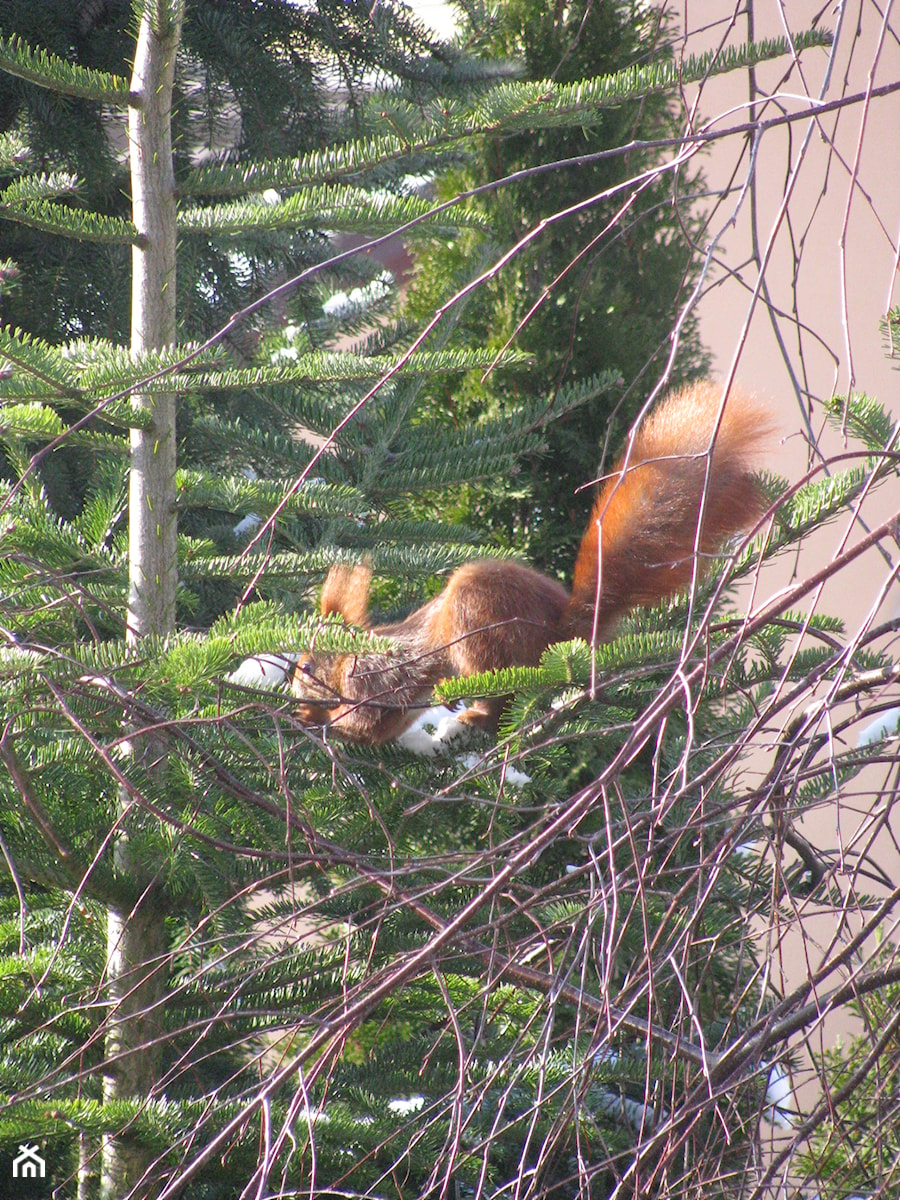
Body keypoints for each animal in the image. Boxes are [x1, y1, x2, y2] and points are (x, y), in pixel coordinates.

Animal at [294, 381, 777, 739]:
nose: (295, 692)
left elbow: (362, 721)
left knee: (502, 695)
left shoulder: (375, 675)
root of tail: (559, 634)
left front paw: (314, 717)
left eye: (305, 666)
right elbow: (381, 729)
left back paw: (475, 713)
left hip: (478, 625)